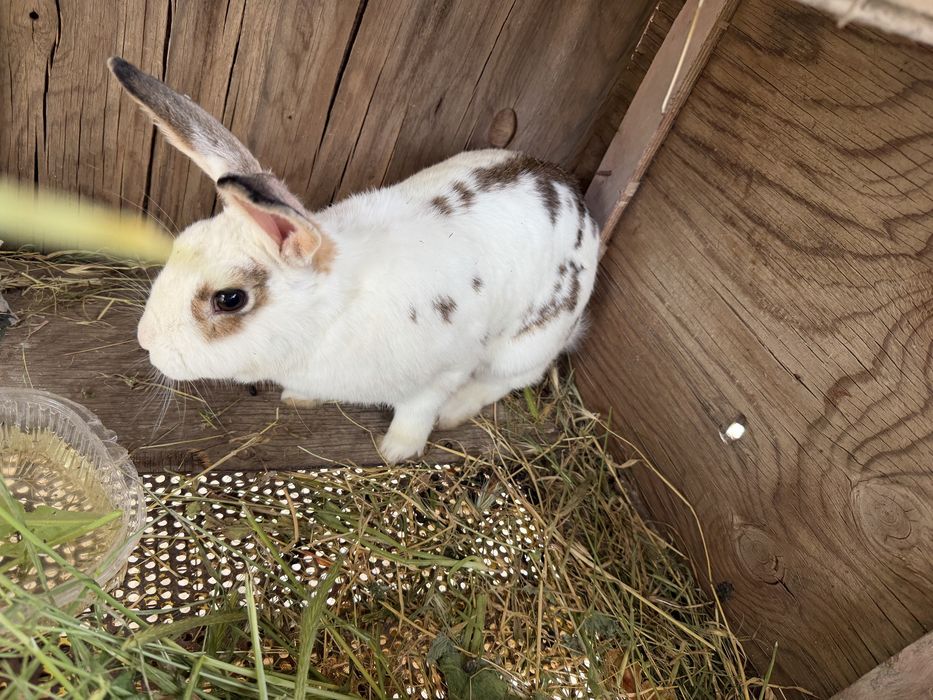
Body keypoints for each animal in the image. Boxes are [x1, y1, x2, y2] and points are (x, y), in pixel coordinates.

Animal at [108, 56, 600, 463]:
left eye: (229, 299)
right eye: (182, 241)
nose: (145, 339)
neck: (332, 318)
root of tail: (581, 205)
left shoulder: (444, 372)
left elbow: (418, 411)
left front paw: (396, 451)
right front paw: (298, 398)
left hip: (527, 343)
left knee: (515, 377)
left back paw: (455, 413)